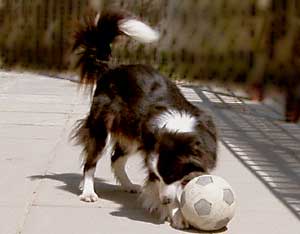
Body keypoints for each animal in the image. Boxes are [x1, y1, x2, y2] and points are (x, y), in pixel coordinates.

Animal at [72, 9, 218, 230]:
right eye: (159, 176)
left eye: (171, 175)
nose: (164, 200)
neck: (177, 129)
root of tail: (111, 69)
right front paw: (176, 213)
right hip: (102, 124)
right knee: (92, 159)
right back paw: (88, 192)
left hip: (132, 134)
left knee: (116, 157)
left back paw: (128, 185)